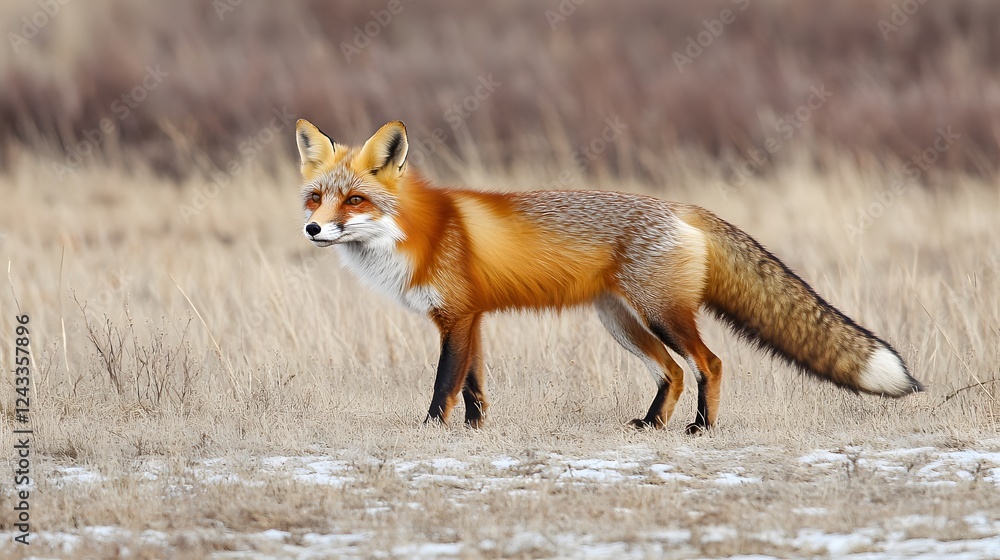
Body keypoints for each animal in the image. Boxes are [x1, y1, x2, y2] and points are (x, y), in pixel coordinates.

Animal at [295, 118, 922, 433]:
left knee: (709, 363)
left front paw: (429, 432)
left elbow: (443, 383)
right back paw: (651, 425)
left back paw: (701, 429)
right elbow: (473, 386)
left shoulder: (456, 317)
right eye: (316, 198)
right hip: (622, 323)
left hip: (663, 315)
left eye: (355, 200)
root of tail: (682, 207)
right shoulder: (468, 318)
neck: (417, 233)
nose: (313, 230)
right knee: (672, 371)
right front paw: (473, 431)